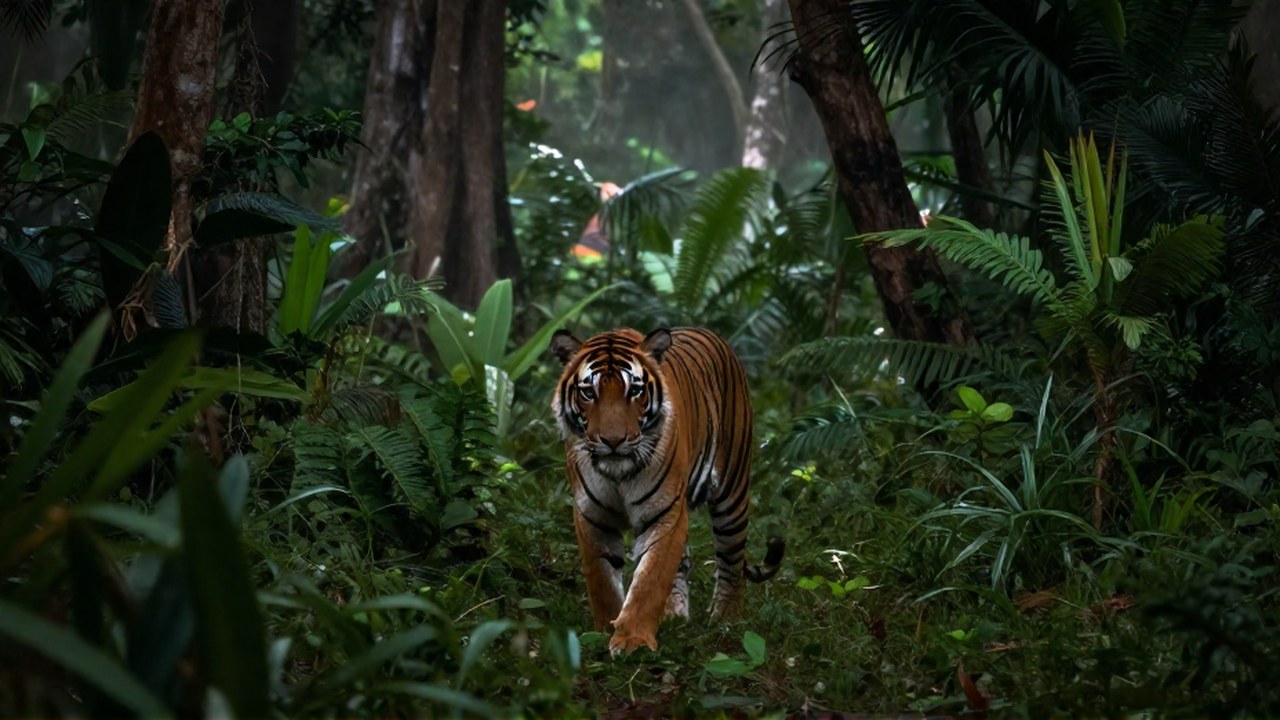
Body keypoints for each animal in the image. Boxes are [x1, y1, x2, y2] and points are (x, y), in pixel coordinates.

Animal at [549, 326, 785, 655]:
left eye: (635, 391)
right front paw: (604, 632)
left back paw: (726, 620)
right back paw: (673, 615)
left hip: (732, 492)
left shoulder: (664, 512)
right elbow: (603, 582)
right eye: (588, 393)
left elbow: (650, 577)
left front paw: (632, 641)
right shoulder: (592, 516)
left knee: (732, 562)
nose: (613, 441)